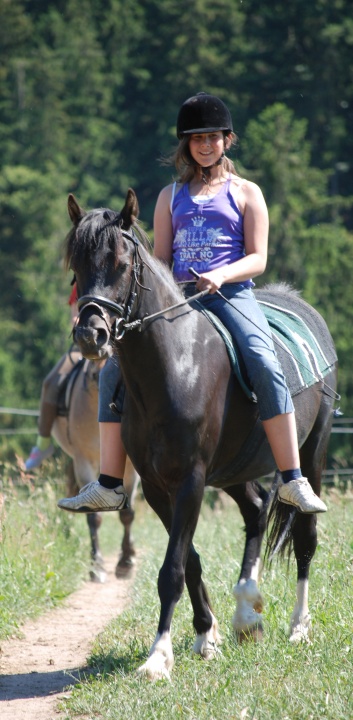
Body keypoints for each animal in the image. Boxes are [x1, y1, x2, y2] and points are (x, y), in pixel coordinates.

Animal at [51, 358, 138, 584]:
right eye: (92, 375)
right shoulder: (83, 462)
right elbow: (93, 517)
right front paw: (96, 565)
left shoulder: (132, 468)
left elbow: (128, 514)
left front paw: (126, 562)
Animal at [64, 188, 336, 676]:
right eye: (77, 264)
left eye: (120, 263)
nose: (91, 335)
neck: (175, 366)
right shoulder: (159, 486)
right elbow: (187, 560)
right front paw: (205, 635)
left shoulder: (190, 479)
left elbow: (171, 569)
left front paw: (158, 657)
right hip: (232, 471)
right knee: (255, 510)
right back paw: (247, 612)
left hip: (312, 453)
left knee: (304, 535)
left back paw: (298, 627)